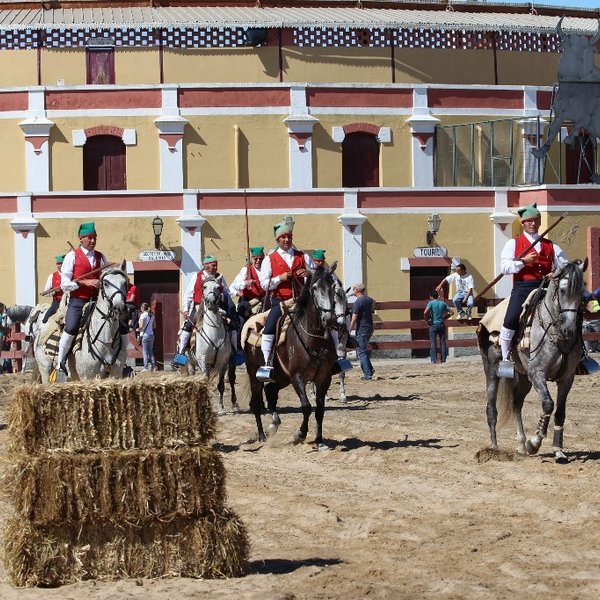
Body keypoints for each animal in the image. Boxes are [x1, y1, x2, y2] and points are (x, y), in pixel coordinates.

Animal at [478, 260, 584, 462]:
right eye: (562, 290)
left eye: (581, 290)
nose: (569, 328)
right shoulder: (537, 374)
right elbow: (548, 404)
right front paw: (534, 443)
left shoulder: (566, 378)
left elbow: (560, 412)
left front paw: (558, 451)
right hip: (492, 369)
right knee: (491, 409)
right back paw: (494, 447)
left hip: (524, 377)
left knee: (516, 402)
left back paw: (521, 444)